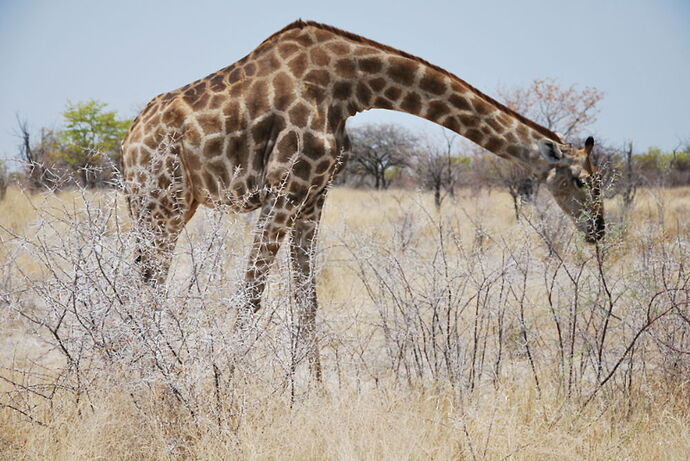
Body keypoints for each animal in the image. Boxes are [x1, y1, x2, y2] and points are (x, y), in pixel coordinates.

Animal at [122, 18, 600, 378]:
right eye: (583, 181)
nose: (598, 229)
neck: (351, 87)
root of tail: (128, 142)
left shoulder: (313, 193)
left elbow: (307, 300)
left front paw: (310, 393)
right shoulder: (284, 187)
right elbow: (251, 295)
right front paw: (229, 384)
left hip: (168, 207)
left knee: (144, 284)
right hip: (161, 202)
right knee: (146, 287)